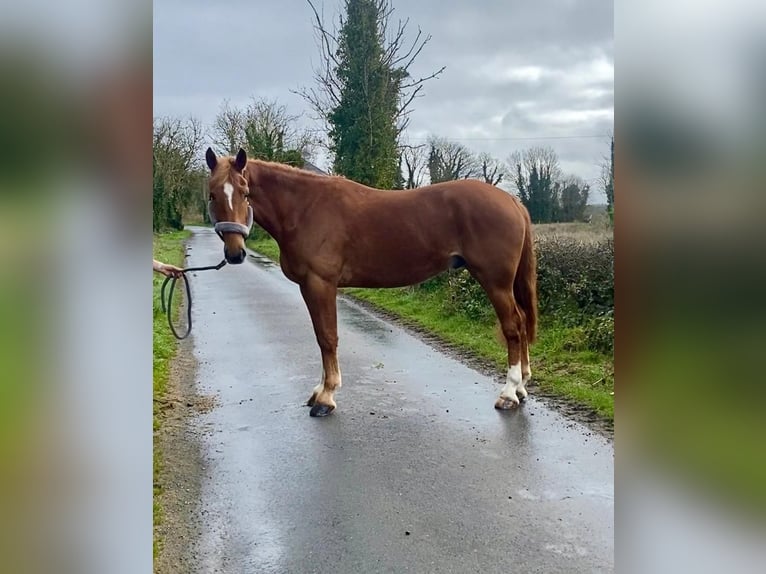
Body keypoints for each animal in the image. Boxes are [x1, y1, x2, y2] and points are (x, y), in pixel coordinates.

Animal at [204, 148, 540, 418]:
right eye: (212, 194)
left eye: (245, 192)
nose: (234, 253)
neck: (305, 208)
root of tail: (511, 200)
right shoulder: (308, 286)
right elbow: (320, 336)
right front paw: (319, 390)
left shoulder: (320, 283)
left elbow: (328, 337)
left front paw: (326, 398)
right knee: (522, 322)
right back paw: (521, 387)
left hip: (495, 281)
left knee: (513, 326)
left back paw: (508, 394)